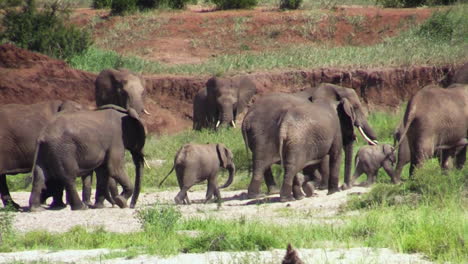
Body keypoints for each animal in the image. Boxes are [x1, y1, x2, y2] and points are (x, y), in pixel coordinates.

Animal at [243, 83, 378, 200]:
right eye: (356, 108)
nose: (345, 187)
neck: (336, 88)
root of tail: (245, 119)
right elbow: (331, 156)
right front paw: (327, 189)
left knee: (263, 163)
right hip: (263, 132)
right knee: (263, 162)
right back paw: (263, 195)